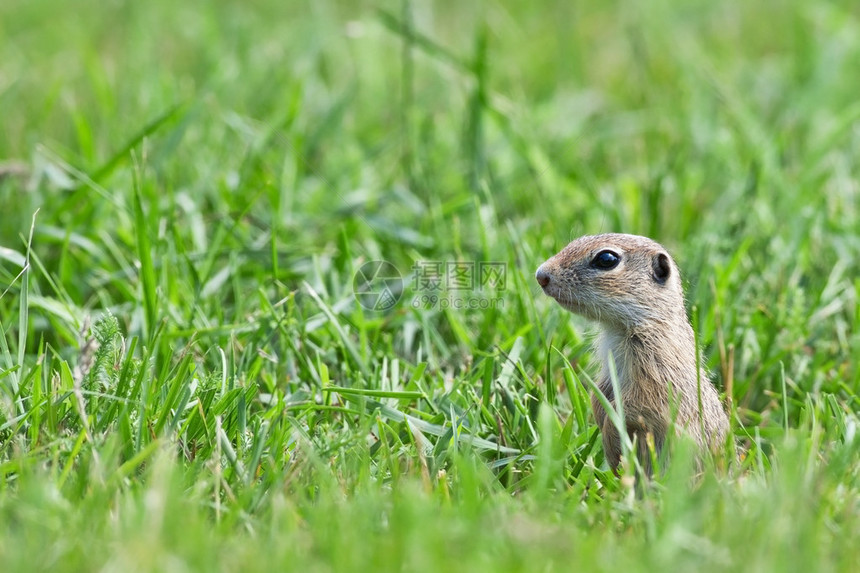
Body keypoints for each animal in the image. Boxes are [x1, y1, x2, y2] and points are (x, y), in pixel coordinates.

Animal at [536, 232, 724, 474]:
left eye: (606, 259)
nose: (541, 275)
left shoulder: (655, 376)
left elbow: (634, 408)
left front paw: (610, 442)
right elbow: (601, 394)